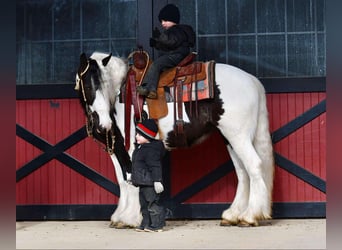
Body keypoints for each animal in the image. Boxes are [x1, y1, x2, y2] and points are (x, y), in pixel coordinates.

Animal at [75, 50, 276, 227]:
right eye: (87, 85)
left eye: (104, 83)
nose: (103, 124)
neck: (120, 95)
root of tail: (252, 81)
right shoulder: (116, 148)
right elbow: (122, 180)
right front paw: (120, 217)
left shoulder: (130, 147)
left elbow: (132, 178)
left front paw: (131, 218)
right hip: (230, 138)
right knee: (242, 172)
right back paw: (233, 215)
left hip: (238, 136)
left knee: (254, 166)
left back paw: (249, 216)